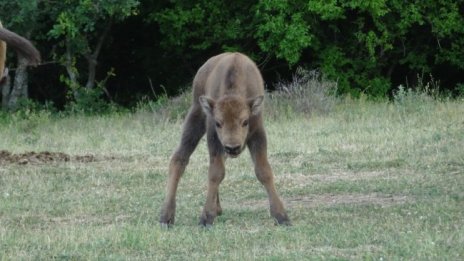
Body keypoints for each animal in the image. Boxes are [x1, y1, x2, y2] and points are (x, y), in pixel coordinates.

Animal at [160, 51, 290, 225]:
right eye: (218, 122)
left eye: (245, 121)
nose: (233, 147)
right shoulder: (214, 137)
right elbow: (216, 173)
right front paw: (206, 218)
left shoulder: (257, 133)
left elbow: (264, 171)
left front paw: (281, 216)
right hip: (195, 117)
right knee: (179, 159)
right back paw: (166, 216)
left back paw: (217, 209)